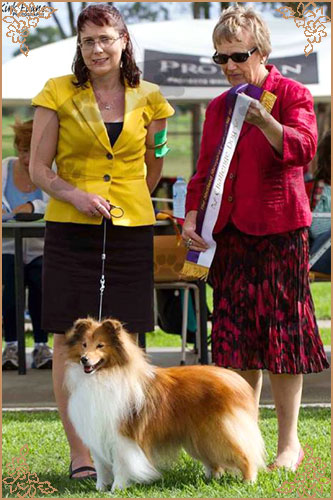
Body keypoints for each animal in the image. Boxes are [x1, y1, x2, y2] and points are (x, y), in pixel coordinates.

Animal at [65, 318, 266, 490]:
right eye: (84, 345)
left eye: (100, 345)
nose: (84, 359)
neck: (103, 376)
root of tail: (236, 379)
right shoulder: (97, 434)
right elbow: (101, 466)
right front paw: (100, 488)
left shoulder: (122, 437)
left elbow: (121, 465)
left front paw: (117, 489)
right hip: (200, 438)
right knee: (215, 462)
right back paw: (209, 479)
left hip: (219, 432)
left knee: (245, 455)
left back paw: (249, 481)